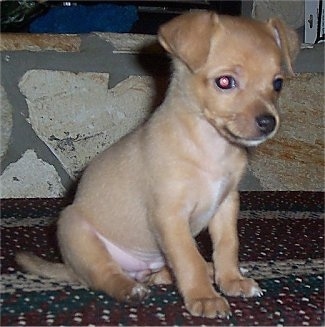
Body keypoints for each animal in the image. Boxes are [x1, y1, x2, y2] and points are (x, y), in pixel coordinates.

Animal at [16, 11, 298, 320]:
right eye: (225, 82)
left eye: (278, 84)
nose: (268, 122)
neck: (211, 147)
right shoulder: (170, 216)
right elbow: (189, 258)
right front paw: (204, 297)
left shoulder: (225, 206)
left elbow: (226, 246)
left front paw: (231, 280)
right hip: (76, 230)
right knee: (105, 275)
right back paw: (130, 289)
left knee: (165, 272)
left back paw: (202, 271)